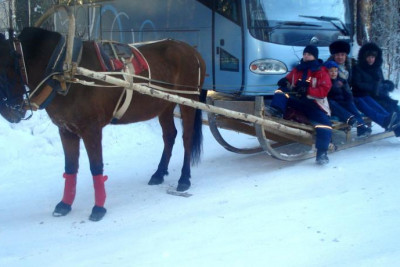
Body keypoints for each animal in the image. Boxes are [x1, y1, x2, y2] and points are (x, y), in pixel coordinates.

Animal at [0, 28, 206, 222]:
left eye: (6, 67)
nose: (9, 112)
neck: (65, 72)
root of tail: (192, 51)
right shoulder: (66, 129)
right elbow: (70, 167)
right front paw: (65, 204)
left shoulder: (91, 129)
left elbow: (96, 166)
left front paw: (98, 208)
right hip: (164, 105)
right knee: (169, 135)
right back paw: (159, 173)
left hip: (188, 101)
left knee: (187, 138)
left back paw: (184, 178)